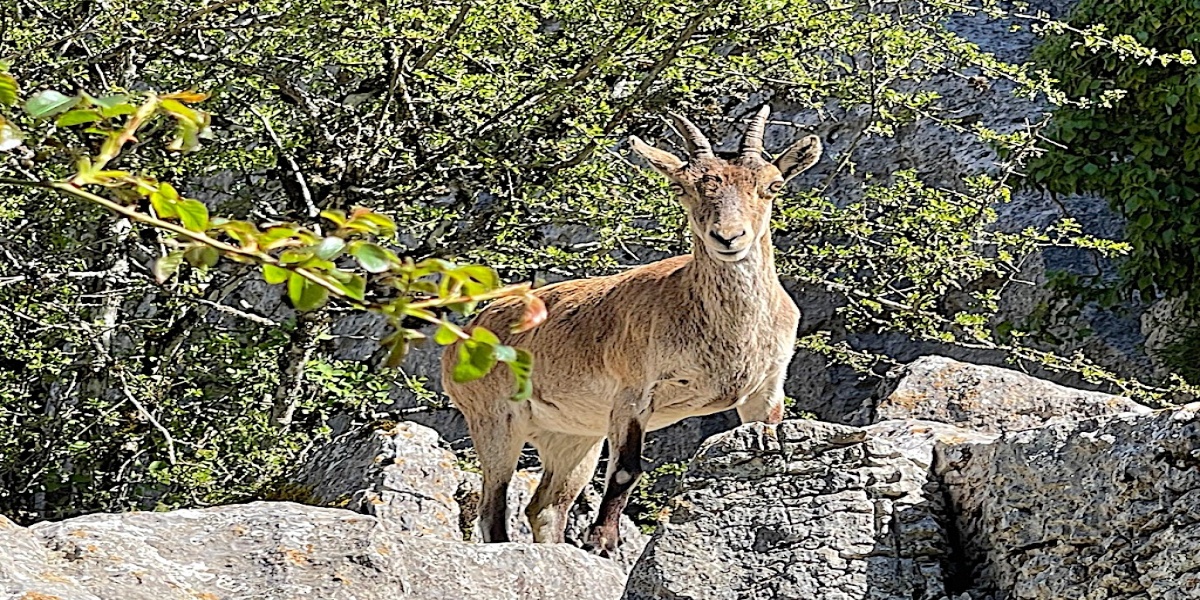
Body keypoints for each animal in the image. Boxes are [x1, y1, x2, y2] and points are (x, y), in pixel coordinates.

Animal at [441, 105, 825, 554]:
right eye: (681, 187)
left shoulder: (765, 393)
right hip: (495, 420)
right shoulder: (634, 395)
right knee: (492, 509)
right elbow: (625, 470)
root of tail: (463, 336)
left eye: (772, 185)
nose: (728, 238)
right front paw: (602, 543)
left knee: (546, 507)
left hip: (572, 437)